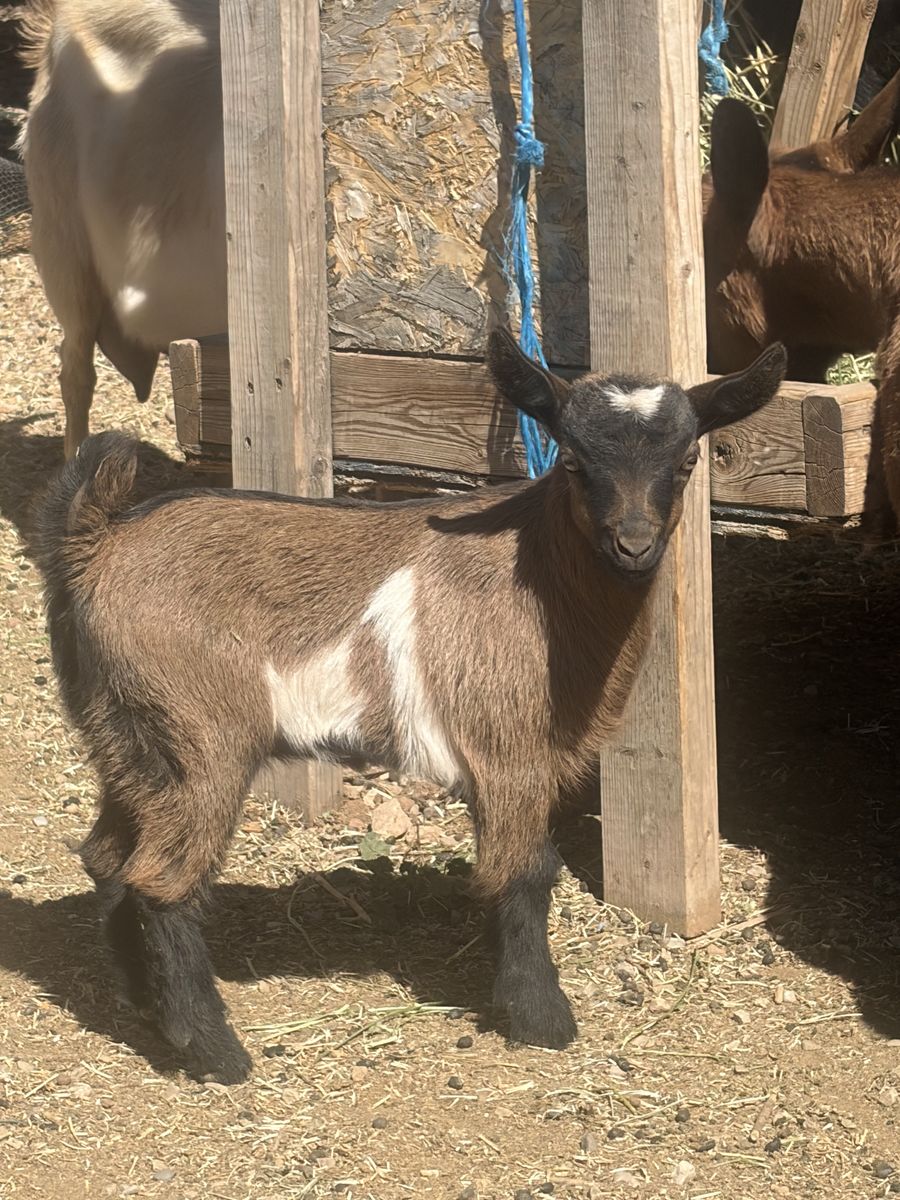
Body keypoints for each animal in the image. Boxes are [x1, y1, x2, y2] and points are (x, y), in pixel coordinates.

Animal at [32, 330, 787, 1083]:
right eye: (573, 460)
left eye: (687, 461)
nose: (633, 543)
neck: (539, 572)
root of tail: (96, 543)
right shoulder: (507, 746)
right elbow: (526, 871)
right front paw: (540, 1018)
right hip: (199, 738)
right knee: (161, 879)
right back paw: (213, 1049)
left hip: (126, 732)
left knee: (108, 857)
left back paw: (142, 998)